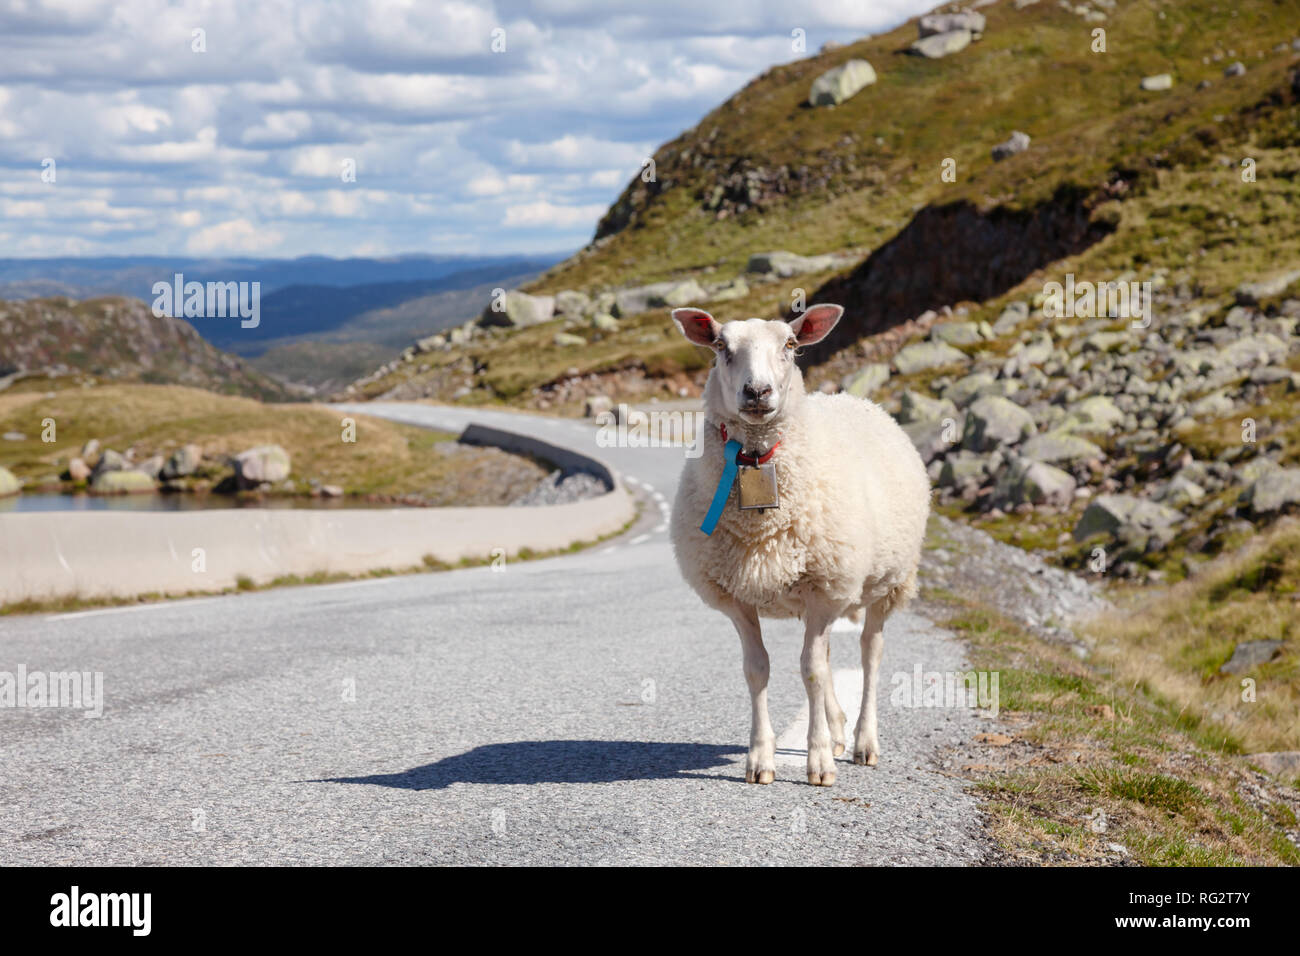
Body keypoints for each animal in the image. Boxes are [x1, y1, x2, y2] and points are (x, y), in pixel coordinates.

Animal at [665, 304, 930, 785]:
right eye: (721, 347)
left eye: (790, 345)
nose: (757, 391)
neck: (757, 459)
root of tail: (856, 399)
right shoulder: (737, 596)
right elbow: (758, 670)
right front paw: (761, 759)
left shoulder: (826, 588)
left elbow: (812, 672)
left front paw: (819, 761)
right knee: (826, 655)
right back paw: (839, 728)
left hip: (886, 582)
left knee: (869, 654)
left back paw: (863, 741)